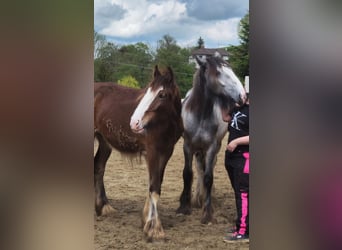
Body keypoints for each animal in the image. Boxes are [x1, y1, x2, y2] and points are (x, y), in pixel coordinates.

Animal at [93, 65, 183, 241]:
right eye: (147, 91)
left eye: (162, 94)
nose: (134, 122)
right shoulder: (152, 152)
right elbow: (154, 187)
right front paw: (154, 228)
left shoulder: (166, 152)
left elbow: (156, 183)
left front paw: (146, 220)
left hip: (105, 142)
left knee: (98, 167)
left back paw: (103, 207)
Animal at [176, 53, 246, 225]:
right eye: (218, 72)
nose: (242, 95)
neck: (200, 114)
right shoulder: (188, 146)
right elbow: (187, 174)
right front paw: (184, 207)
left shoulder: (211, 147)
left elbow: (208, 177)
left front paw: (207, 213)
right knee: (198, 168)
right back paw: (196, 199)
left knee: (207, 169)